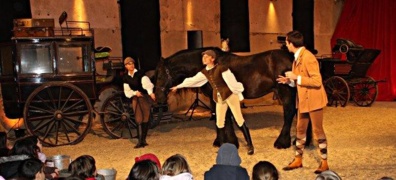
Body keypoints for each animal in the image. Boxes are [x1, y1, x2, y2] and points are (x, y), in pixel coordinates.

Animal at [156, 46, 298, 149]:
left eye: (160, 75)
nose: (157, 98)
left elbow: (224, 118)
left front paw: (227, 141)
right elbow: (220, 117)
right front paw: (223, 141)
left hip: (285, 91)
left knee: (289, 113)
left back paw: (281, 143)